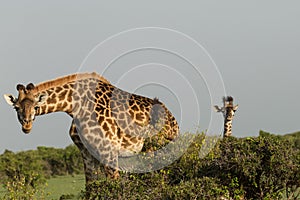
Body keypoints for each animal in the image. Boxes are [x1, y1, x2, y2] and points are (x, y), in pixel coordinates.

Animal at [3, 73, 179, 186]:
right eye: (16, 108)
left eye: (36, 106)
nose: (26, 125)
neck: (74, 106)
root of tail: (173, 120)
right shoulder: (86, 152)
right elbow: (90, 186)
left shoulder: (108, 150)